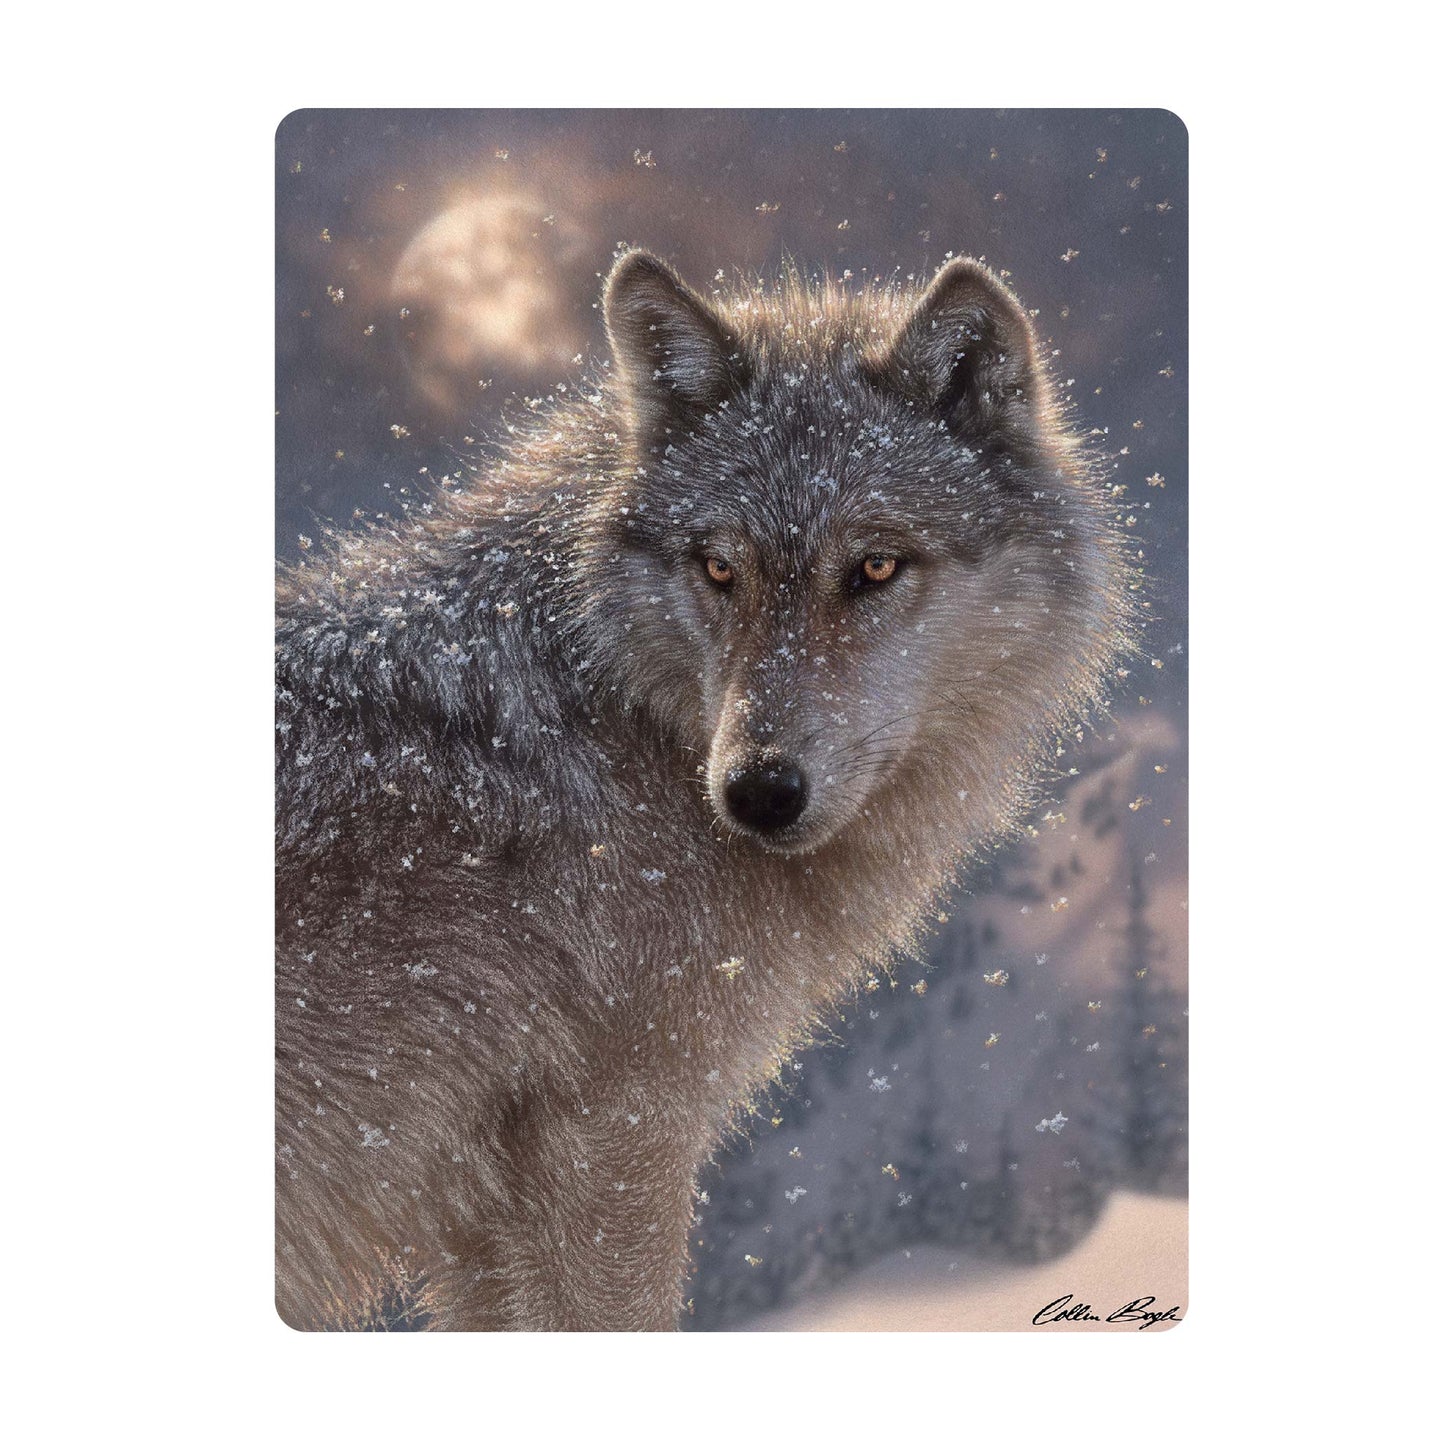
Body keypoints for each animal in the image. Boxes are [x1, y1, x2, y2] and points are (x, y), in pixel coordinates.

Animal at [275, 248, 1135, 1330]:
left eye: (875, 565)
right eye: (720, 567)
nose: (757, 791)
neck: (620, 712)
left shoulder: (491, 1215)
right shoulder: (616, 1139)